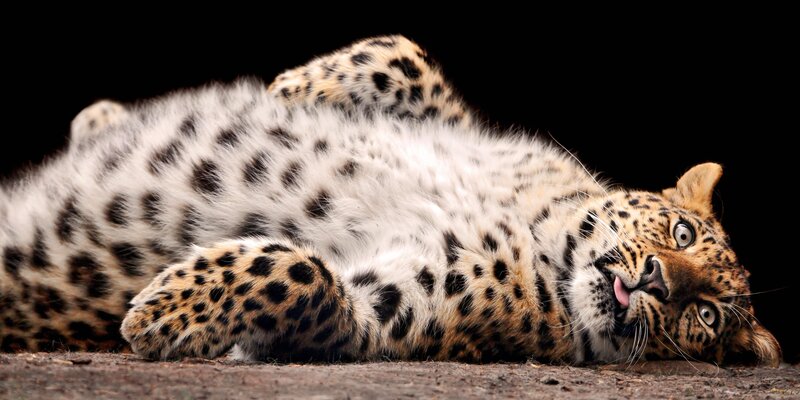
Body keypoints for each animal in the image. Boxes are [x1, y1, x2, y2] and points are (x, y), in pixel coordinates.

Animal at [0, 35, 780, 366]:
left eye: (705, 316)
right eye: (680, 233)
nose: (657, 280)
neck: (544, 233)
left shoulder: (392, 315)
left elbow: (306, 276)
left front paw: (168, 311)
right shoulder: (463, 128)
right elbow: (405, 54)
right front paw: (292, 92)